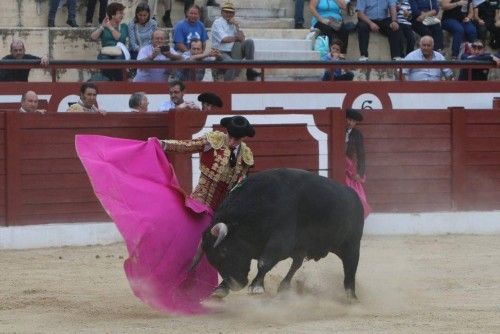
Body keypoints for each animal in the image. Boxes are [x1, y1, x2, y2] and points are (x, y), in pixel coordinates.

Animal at [191, 168, 364, 298]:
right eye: (211, 260)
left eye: (224, 251)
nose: (235, 285)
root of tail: (353, 195)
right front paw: (220, 289)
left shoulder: (281, 241)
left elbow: (264, 261)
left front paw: (256, 287)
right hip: (303, 248)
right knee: (297, 263)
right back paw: (284, 287)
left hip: (351, 246)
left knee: (350, 269)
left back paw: (351, 297)